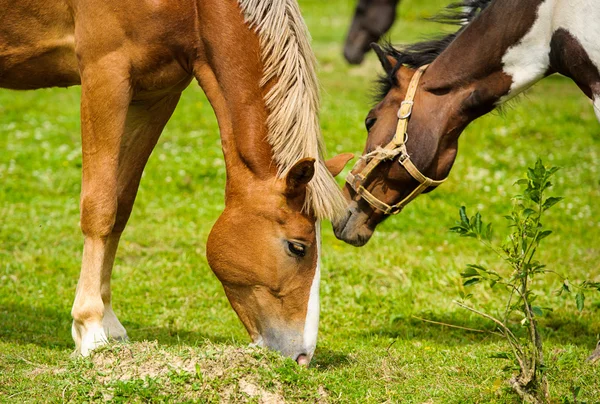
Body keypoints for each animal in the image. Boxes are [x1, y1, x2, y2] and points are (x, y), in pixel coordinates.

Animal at [0, 0, 354, 364]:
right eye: (298, 247)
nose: (303, 357)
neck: (195, 11)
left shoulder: (155, 94)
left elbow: (120, 206)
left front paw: (110, 323)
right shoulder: (105, 72)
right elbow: (100, 207)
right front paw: (91, 329)